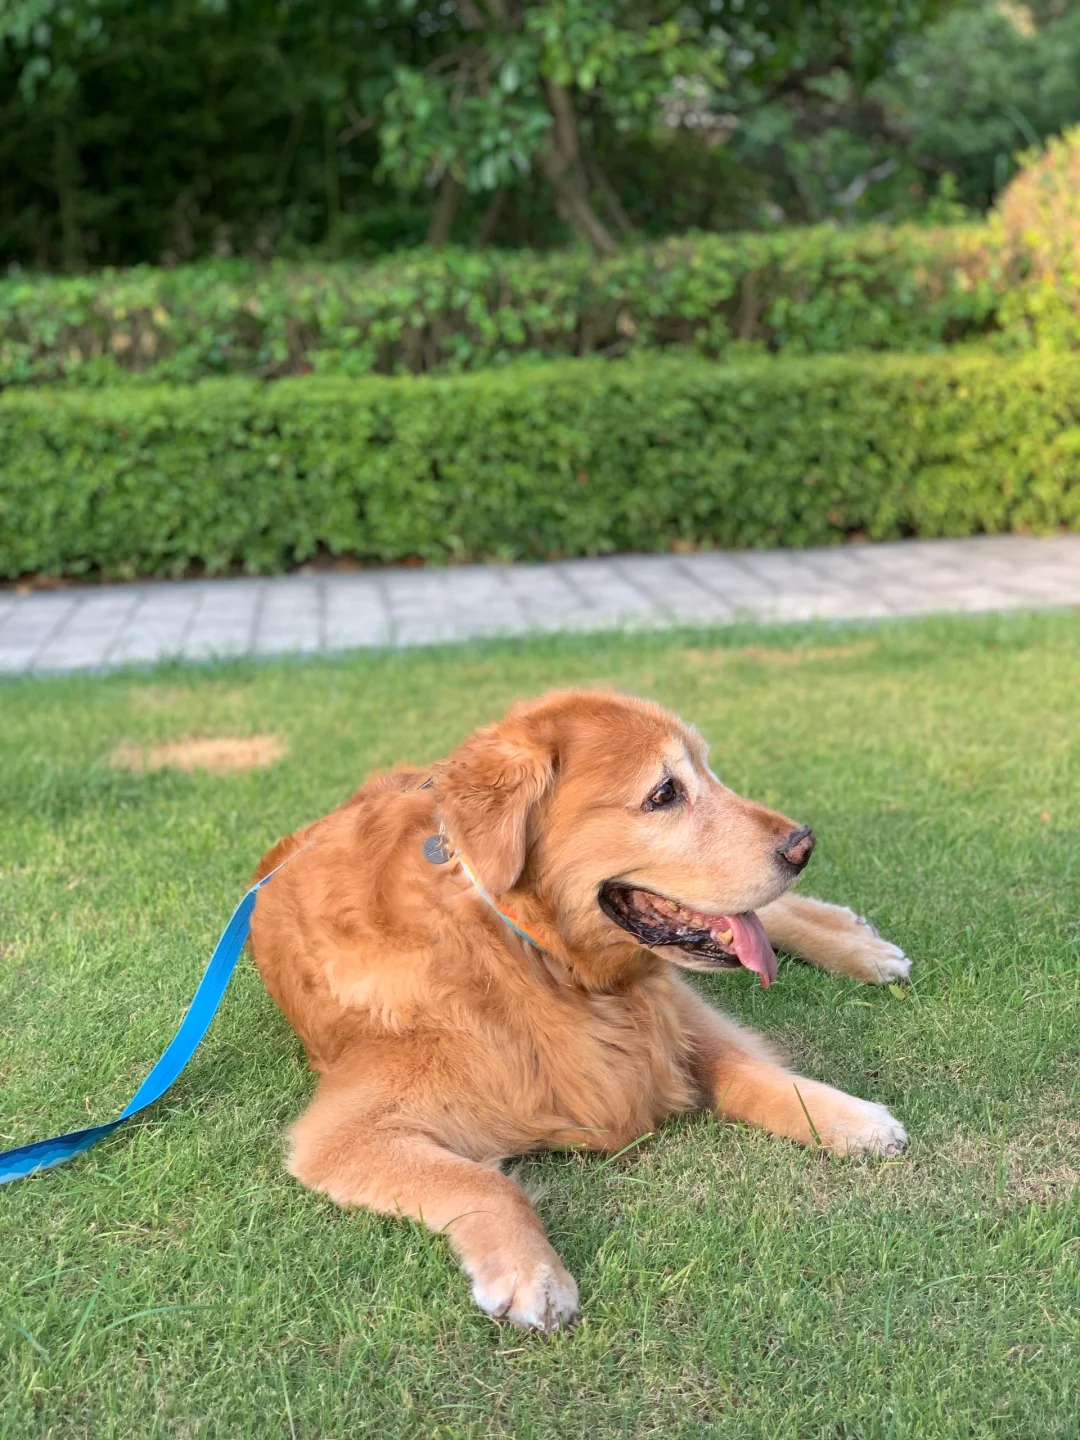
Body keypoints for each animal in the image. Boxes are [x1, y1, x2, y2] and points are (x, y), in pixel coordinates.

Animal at [250, 689, 910, 1332]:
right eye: (664, 793)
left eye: (709, 770)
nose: (804, 843)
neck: (518, 946)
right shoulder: (343, 1133)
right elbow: (483, 1181)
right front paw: (532, 1273)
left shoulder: (665, 1009)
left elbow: (750, 1069)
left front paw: (851, 1118)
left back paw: (862, 948)